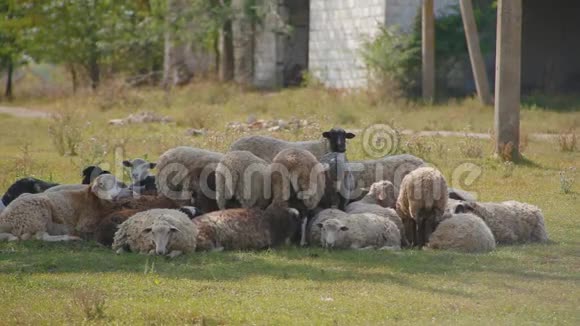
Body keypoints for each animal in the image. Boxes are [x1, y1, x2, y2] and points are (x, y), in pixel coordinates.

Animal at [0, 176, 131, 242]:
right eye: (102, 185)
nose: (114, 196)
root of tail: (5, 219)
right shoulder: (85, 225)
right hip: (37, 215)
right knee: (41, 236)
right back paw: (69, 238)